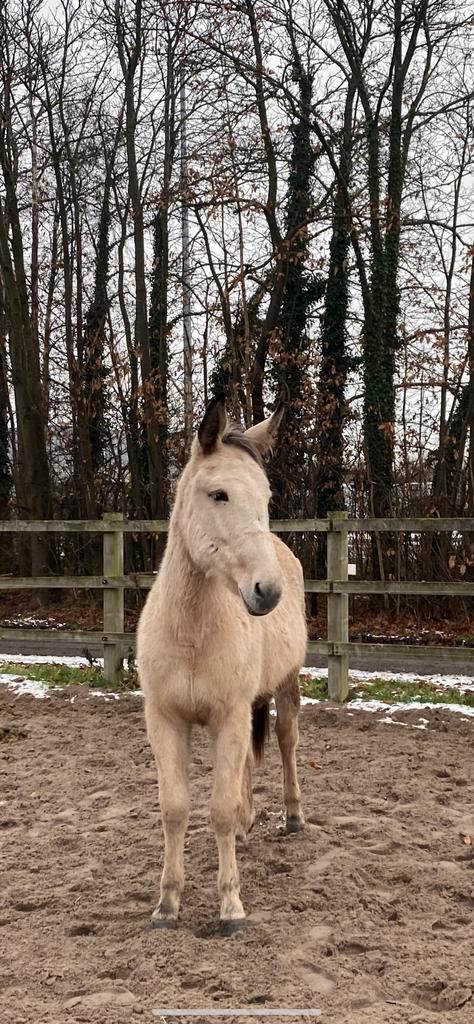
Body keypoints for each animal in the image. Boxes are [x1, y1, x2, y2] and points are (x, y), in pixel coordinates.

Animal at [137, 395, 307, 934]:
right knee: (249, 764)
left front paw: (231, 908)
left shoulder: (227, 717)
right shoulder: (167, 720)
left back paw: (294, 818)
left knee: (286, 742)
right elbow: (176, 808)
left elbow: (220, 809)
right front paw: (166, 905)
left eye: (267, 497)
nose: (266, 591)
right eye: (219, 495)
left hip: (287, 685)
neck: (192, 631)